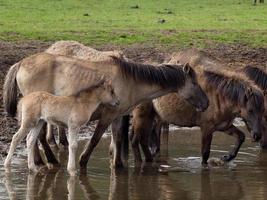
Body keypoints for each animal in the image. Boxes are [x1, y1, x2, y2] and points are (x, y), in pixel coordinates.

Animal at [3, 52, 210, 170]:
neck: (130, 80)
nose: (206, 103)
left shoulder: (117, 116)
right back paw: (51, 161)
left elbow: (117, 140)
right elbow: (95, 140)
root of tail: (20, 63)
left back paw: (39, 162)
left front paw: (118, 166)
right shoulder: (107, 115)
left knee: (33, 138)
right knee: (35, 137)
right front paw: (82, 162)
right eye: (194, 83)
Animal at [131, 65, 264, 165]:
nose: (257, 135)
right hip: (142, 118)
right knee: (136, 140)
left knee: (148, 142)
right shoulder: (207, 129)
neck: (219, 98)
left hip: (154, 119)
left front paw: (227, 157)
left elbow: (241, 137)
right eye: (250, 110)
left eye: (263, 110)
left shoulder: (224, 126)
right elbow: (205, 154)